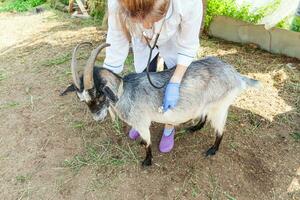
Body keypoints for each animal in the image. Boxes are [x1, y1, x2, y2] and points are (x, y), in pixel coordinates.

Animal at [63, 41, 260, 166]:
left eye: (98, 94)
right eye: (82, 100)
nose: (97, 118)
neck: (125, 91)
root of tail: (236, 75)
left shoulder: (142, 122)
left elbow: (148, 142)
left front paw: (147, 161)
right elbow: (144, 140)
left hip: (220, 106)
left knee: (221, 130)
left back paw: (212, 150)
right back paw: (195, 127)